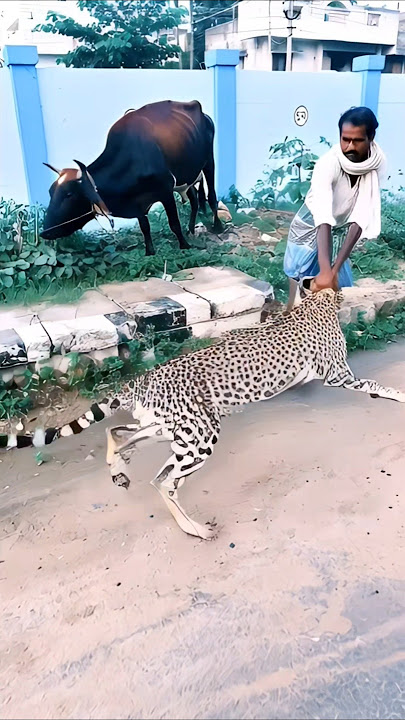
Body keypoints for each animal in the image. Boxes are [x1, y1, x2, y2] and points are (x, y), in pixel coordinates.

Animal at [2, 288, 404, 540]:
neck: (314, 306)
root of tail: (147, 376)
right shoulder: (340, 377)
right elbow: (376, 384)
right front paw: (397, 394)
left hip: (169, 428)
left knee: (119, 434)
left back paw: (120, 468)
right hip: (200, 435)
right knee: (163, 480)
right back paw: (194, 529)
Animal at [41, 100, 224, 256]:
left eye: (69, 194)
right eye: (50, 192)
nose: (45, 232)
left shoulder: (165, 191)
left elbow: (174, 223)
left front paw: (184, 246)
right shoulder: (138, 202)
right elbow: (144, 227)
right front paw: (150, 252)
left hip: (208, 162)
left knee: (211, 196)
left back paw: (218, 227)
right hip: (186, 176)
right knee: (194, 200)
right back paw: (191, 230)